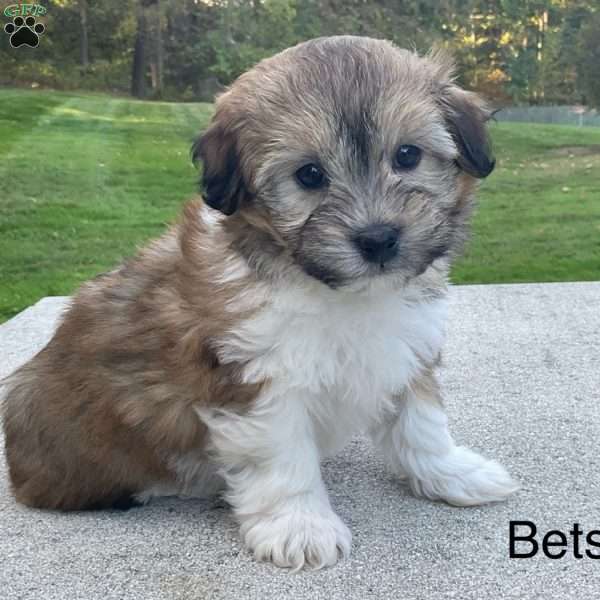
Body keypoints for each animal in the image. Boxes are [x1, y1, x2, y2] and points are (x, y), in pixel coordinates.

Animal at [0, 37, 516, 572]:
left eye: (408, 155)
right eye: (309, 175)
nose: (377, 239)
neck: (335, 292)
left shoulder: (405, 345)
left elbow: (421, 423)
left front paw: (452, 472)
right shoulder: (256, 379)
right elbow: (284, 457)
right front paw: (300, 525)